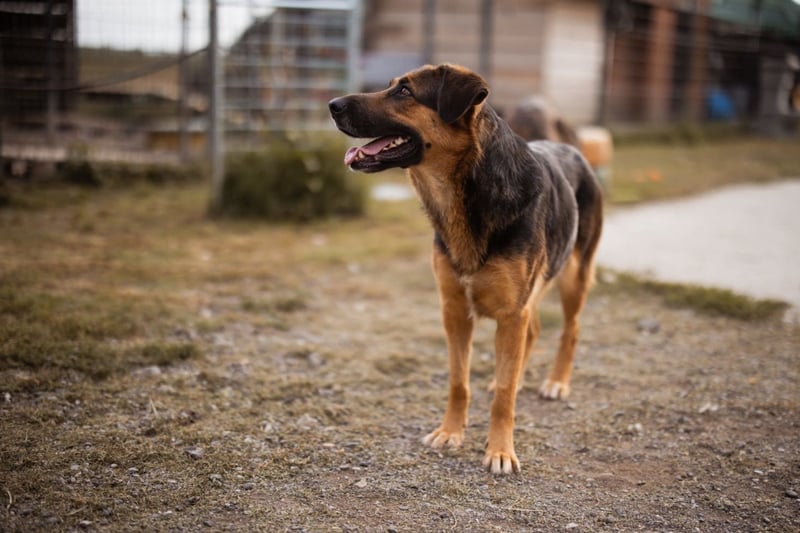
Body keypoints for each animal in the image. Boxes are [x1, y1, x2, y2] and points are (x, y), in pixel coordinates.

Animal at [329, 64, 603, 475]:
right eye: (392, 86)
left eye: (405, 91)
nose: (331, 104)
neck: (465, 193)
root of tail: (573, 150)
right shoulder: (455, 311)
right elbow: (459, 381)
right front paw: (450, 432)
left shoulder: (511, 312)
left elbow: (504, 395)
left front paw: (501, 450)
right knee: (535, 330)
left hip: (573, 276)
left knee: (571, 330)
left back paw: (556, 382)